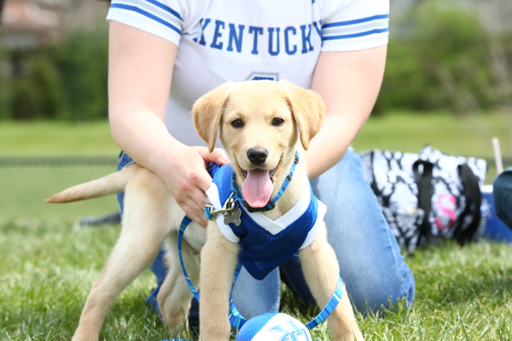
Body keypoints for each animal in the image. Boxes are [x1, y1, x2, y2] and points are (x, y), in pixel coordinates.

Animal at [46, 80, 362, 340]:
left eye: (278, 121)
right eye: (237, 122)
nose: (257, 155)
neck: (268, 204)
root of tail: (139, 168)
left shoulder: (316, 250)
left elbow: (340, 308)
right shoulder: (218, 252)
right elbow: (215, 317)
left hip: (188, 253)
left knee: (169, 298)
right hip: (142, 243)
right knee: (100, 292)